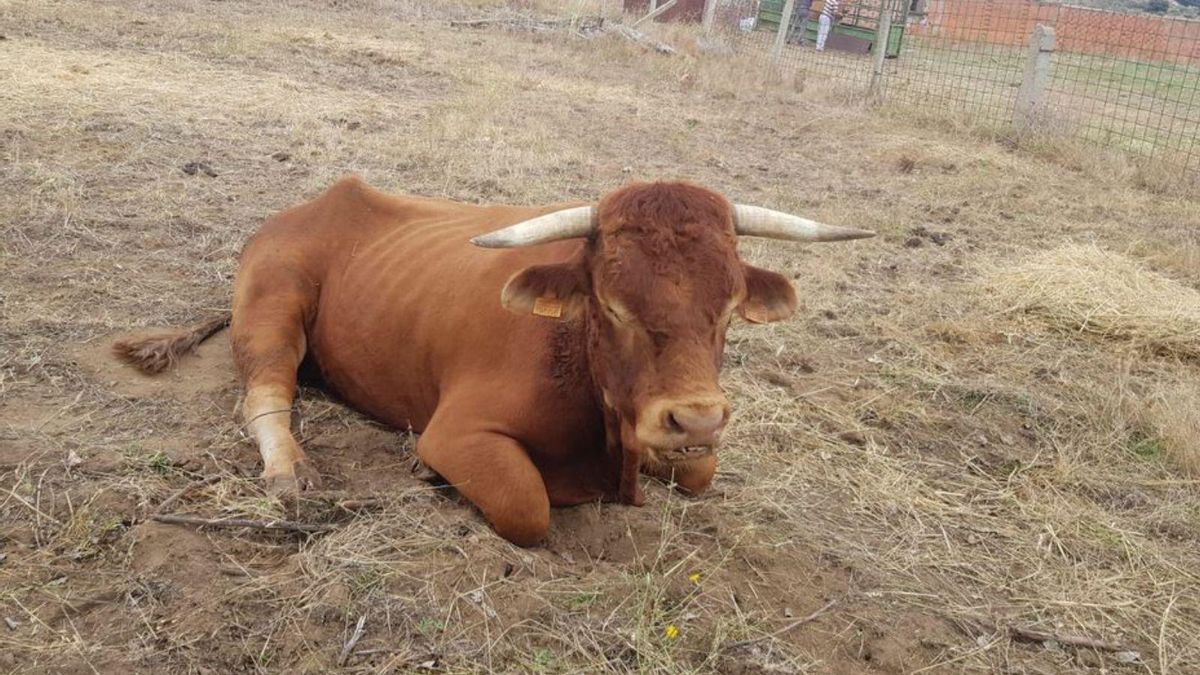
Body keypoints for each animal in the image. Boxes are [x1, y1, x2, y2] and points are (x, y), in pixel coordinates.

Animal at [117, 176, 873, 542]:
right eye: (611, 304)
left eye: (729, 308)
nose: (696, 419)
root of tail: (313, 205)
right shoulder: (458, 433)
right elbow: (527, 505)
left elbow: (700, 472)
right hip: (274, 304)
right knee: (265, 392)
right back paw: (287, 469)